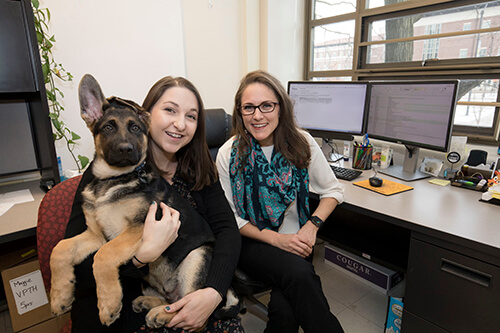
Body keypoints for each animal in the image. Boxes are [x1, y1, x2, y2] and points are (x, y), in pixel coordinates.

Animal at [49, 74, 240, 326]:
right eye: (108, 127)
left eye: (136, 128)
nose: (126, 149)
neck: (113, 179)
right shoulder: (95, 235)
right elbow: (60, 249)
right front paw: (60, 296)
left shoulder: (136, 228)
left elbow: (103, 256)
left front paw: (108, 305)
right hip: (150, 280)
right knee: (173, 300)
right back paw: (150, 304)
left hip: (196, 257)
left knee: (193, 310)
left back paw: (162, 314)